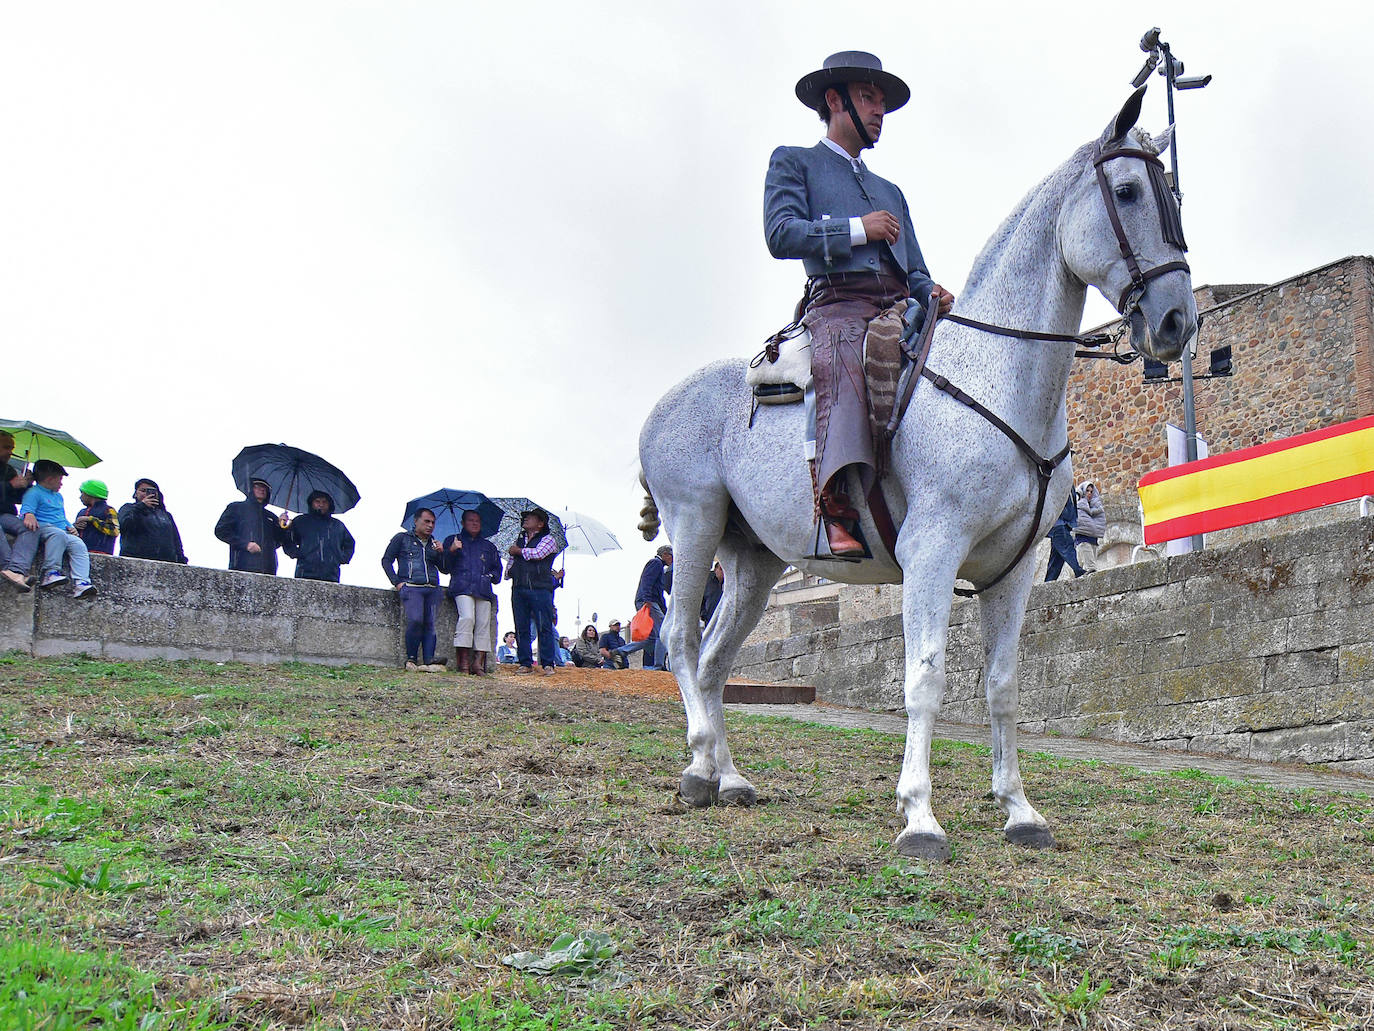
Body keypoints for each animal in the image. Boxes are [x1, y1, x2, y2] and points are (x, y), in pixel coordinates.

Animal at [637, 90, 1198, 863]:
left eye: (1172, 192)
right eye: (1127, 191)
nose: (1177, 321)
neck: (995, 377)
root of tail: (661, 407)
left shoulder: (1012, 569)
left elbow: (1002, 686)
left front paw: (1019, 809)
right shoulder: (932, 552)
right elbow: (925, 678)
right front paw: (920, 815)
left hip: (754, 562)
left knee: (718, 659)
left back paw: (728, 777)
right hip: (693, 526)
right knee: (682, 644)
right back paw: (697, 766)